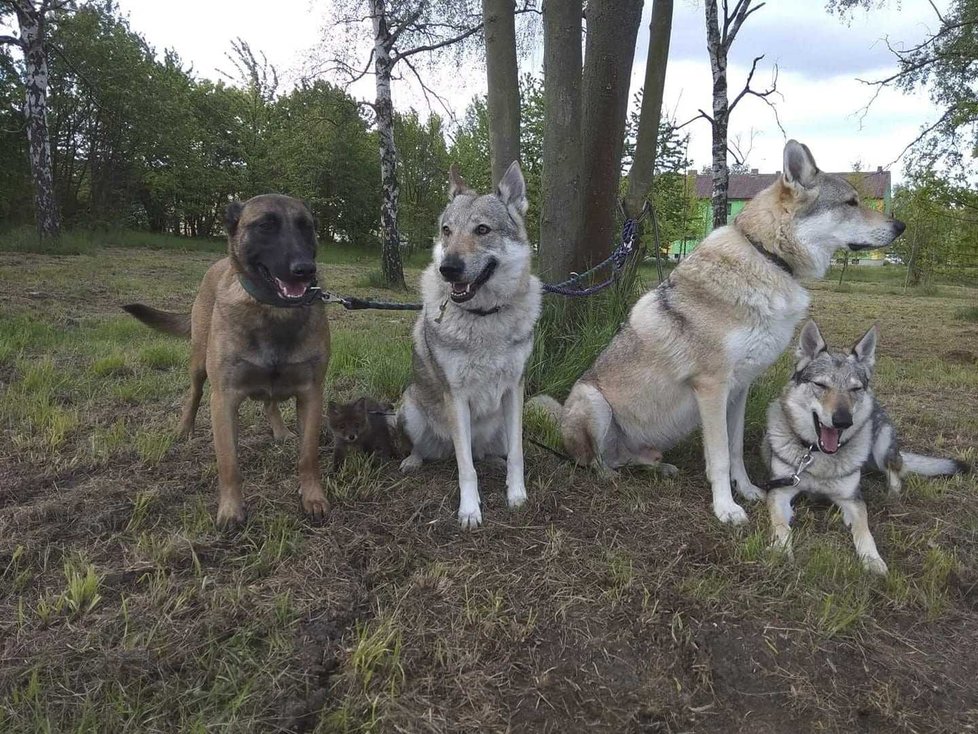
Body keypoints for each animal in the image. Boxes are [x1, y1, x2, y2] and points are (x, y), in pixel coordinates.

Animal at [124, 194, 330, 528]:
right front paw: (231, 509)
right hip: (198, 365)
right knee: (194, 394)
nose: (304, 270)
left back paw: (280, 431)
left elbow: (308, 455)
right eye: (265, 226)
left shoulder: (312, 394)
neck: (273, 310)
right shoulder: (224, 399)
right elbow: (229, 463)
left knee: (270, 403)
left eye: (306, 227)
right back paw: (184, 429)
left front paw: (312, 498)